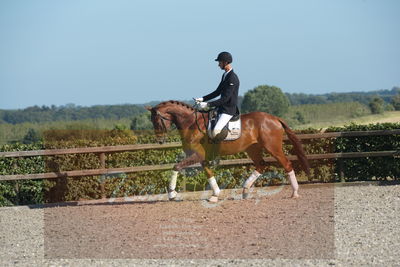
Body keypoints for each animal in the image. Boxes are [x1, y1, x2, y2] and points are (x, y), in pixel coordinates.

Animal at [145, 100, 310, 203]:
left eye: (156, 120)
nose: (160, 141)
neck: (190, 123)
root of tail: (274, 118)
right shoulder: (201, 157)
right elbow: (209, 173)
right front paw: (215, 195)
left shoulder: (197, 155)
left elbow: (176, 167)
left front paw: (172, 194)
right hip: (252, 149)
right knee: (261, 165)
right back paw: (245, 190)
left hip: (273, 148)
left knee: (287, 164)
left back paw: (295, 192)